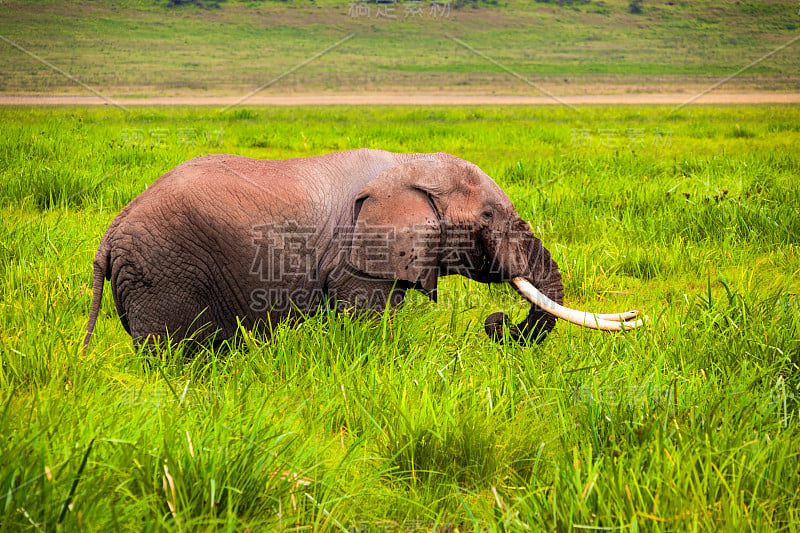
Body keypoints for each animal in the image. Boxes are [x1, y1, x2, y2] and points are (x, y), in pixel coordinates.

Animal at [83, 148, 644, 352]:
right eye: (488, 219)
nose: (496, 322)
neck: (408, 165)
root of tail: (109, 236)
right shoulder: (359, 261)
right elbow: (369, 323)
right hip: (163, 273)